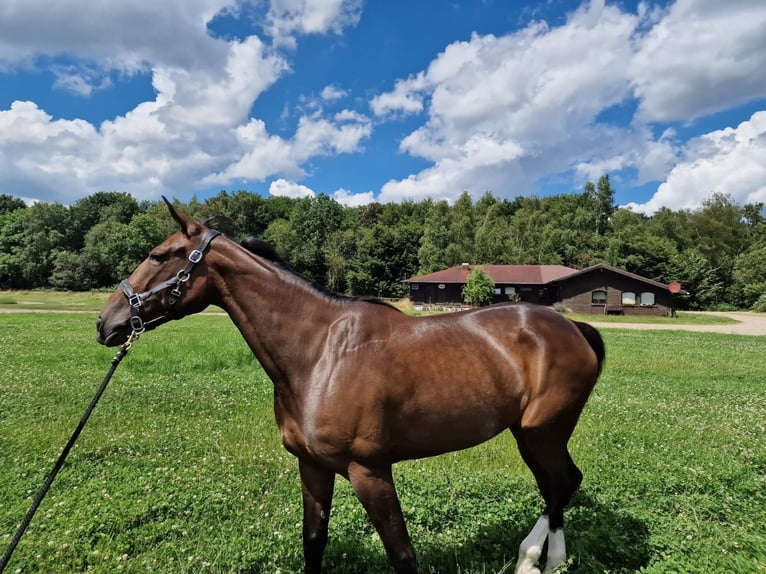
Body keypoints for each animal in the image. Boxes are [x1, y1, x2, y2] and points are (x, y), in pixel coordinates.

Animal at [97, 199, 608, 574]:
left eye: (158, 256)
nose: (107, 323)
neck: (320, 353)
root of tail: (573, 326)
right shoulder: (311, 467)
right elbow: (314, 542)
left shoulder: (370, 473)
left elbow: (403, 557)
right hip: (531, 433)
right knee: (560, 483)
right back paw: (540, 561)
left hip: (542, 432)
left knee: (559, 483)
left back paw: (536, 560)